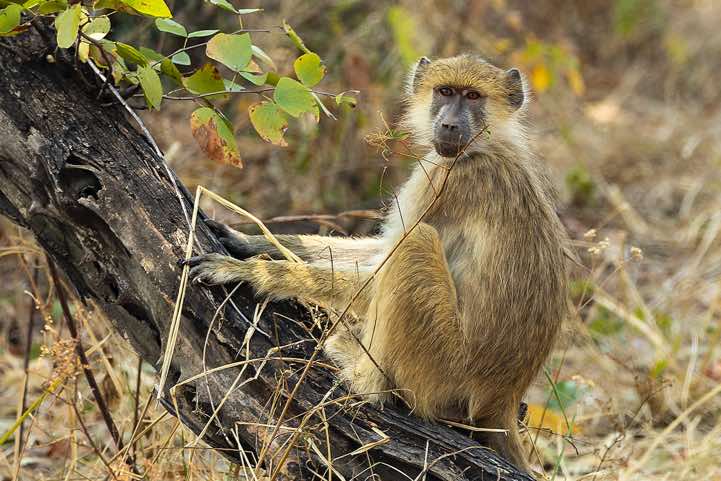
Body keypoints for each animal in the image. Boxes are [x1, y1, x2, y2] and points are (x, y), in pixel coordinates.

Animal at [183, 54, 570, 471]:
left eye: (473, 96)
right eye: (445, 91)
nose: (450, 124)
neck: (486, 146)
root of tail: (501, 400)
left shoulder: (445, 180)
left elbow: (377, 276)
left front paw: (250, 271)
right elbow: (376, 252)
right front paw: (251, 241)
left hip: (442, 369)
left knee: (415, 245)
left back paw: (363, 379)